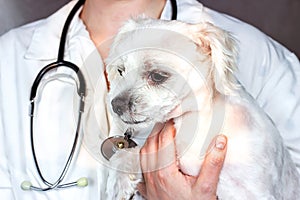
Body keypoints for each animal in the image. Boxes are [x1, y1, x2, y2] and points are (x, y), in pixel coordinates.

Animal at [103, 18, 300, 199]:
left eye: (158, 76)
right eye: (121, 70)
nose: (116, 105)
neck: (198, 118)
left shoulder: (253, 190)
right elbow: (129, 154)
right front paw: (119, 181)